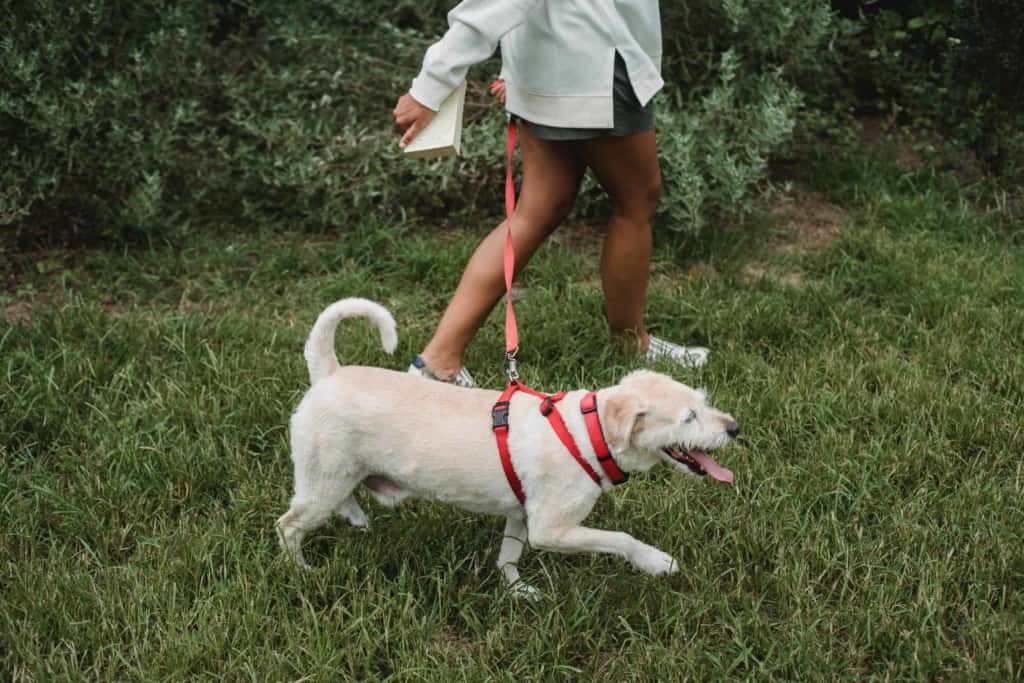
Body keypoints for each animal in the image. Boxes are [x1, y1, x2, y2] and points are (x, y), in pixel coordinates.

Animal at [276, 296, 741, 593]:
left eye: (703, 402)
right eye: (689, 417)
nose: (735, 428)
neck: (587, 432)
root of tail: (329, 372)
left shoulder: (521, 515)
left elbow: (508, 556)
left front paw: (517, 591)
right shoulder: (552, 529)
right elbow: (621, 538)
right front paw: (657, 562)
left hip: (339, 473)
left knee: (339, 501)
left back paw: (357, 521)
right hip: (324, 477)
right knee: (289, 525)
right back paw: (302, 572)